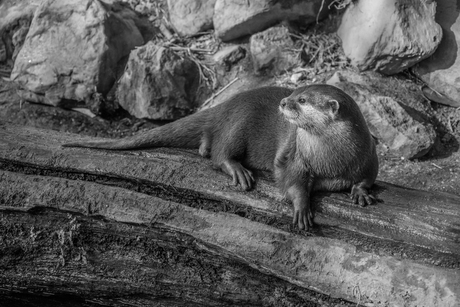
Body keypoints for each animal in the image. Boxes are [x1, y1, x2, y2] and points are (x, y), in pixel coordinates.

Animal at [63, 85, 378, 231]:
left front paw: (361, 193)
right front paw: (301, 208)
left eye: (302, 100)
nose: (283, 102)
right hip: (238, 122)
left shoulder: (368, 152)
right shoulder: (294, 157)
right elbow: (291, 181)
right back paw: (238, 170)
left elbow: (368, 176)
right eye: (295, 92)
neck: (331, 159)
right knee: (220, 152)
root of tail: (226, 103)